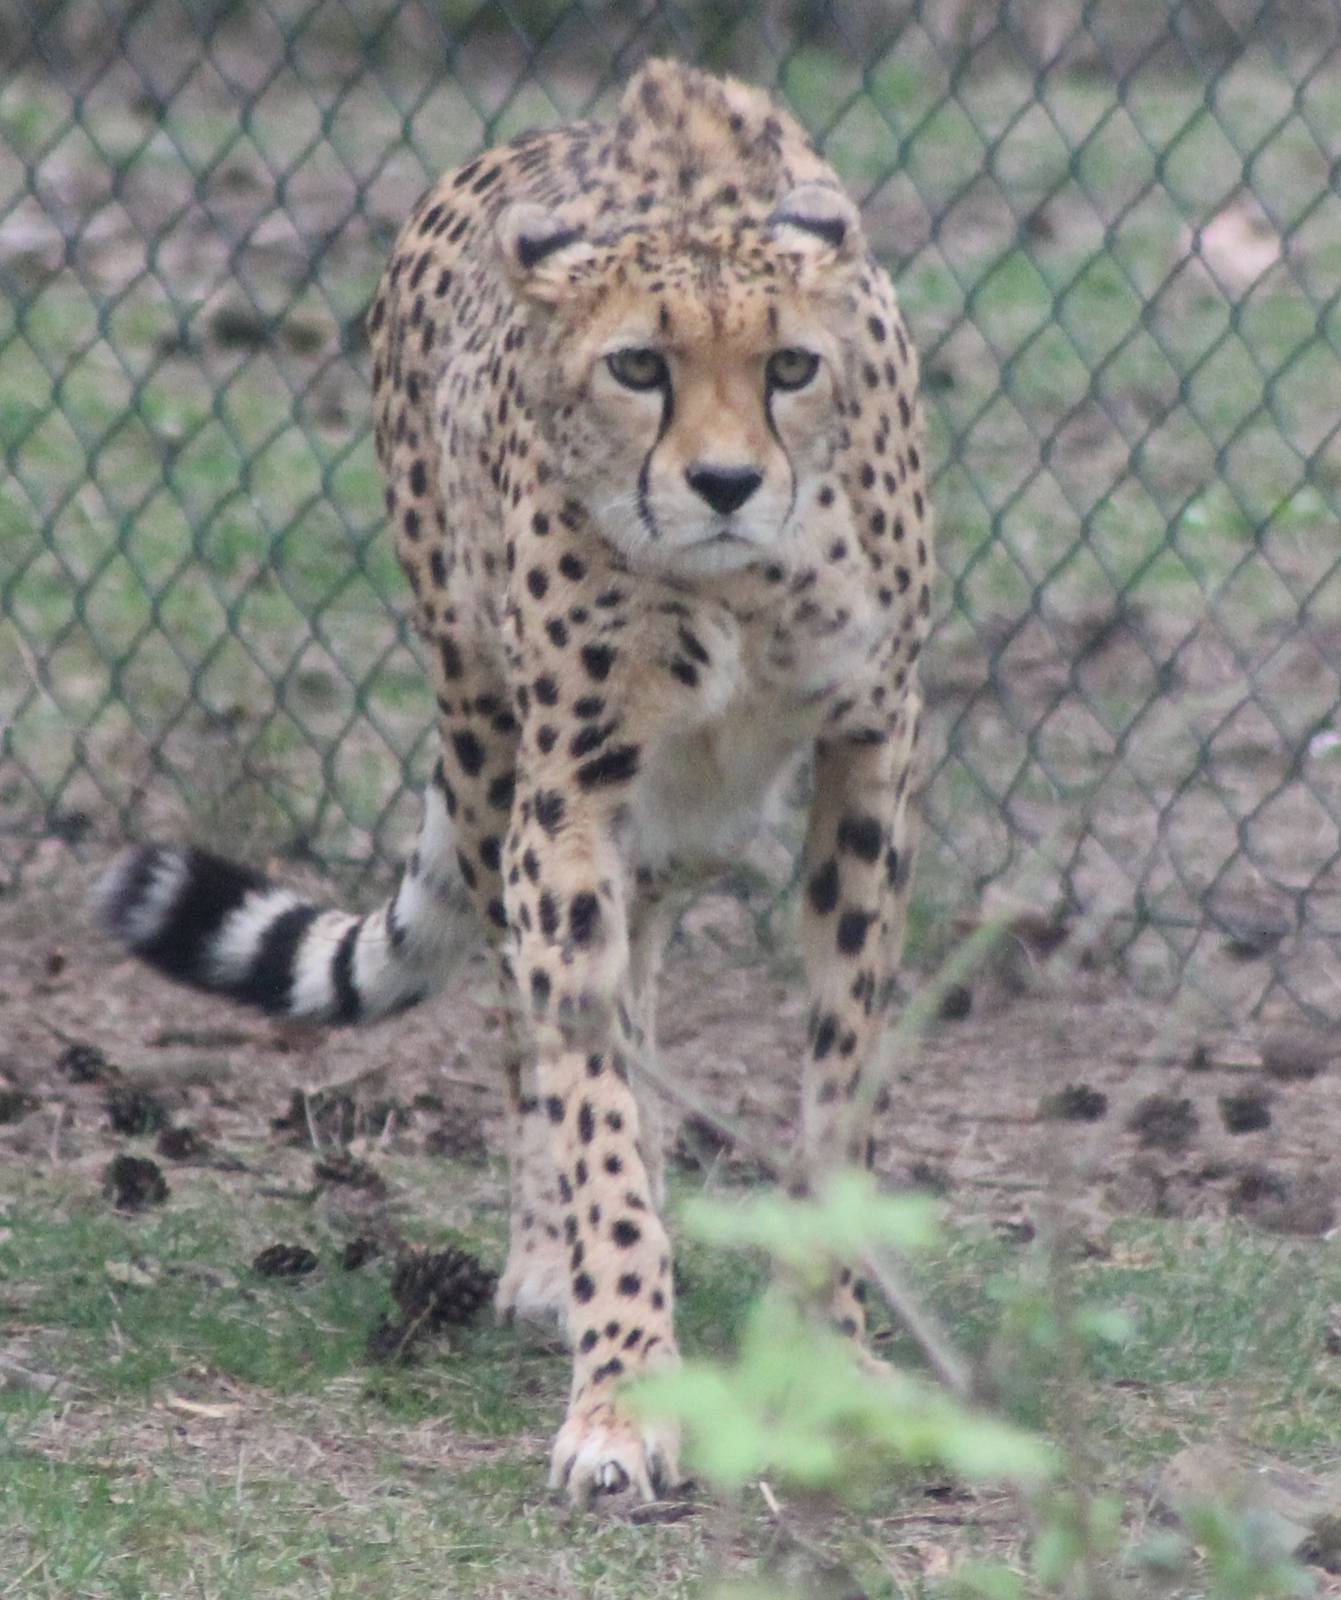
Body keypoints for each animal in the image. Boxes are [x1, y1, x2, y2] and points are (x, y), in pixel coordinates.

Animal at [97, 57, 934, 1506]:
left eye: (791, 367)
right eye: (638, 366)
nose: (726, 482)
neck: (740, 588)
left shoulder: (865, 770)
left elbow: (838, 1082)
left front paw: (833, 1350)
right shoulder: (572, 791)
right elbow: (584, 1090)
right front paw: (624, 1387)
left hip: (674, 815)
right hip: (491, 736)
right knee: (525, 1005)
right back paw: (552, 1258)